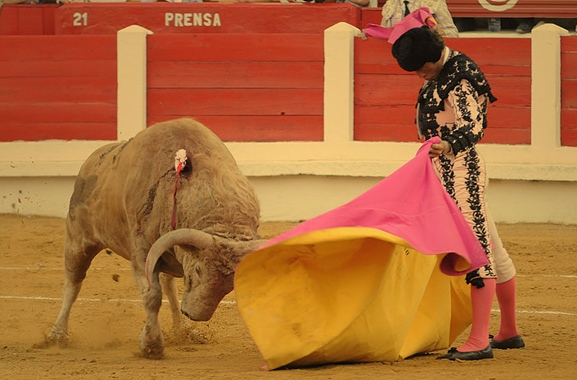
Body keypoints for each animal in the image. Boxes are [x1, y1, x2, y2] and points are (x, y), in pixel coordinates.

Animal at [45, 119, 266, 360]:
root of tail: (92, 160)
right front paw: (151, 345)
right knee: (73, 283)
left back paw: (184, 330)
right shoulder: (142, 250)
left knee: (169, 286)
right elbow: (152, 295)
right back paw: (57, 334)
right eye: (199, 270)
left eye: (230, 284)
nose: (195, 315)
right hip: (77, 240)